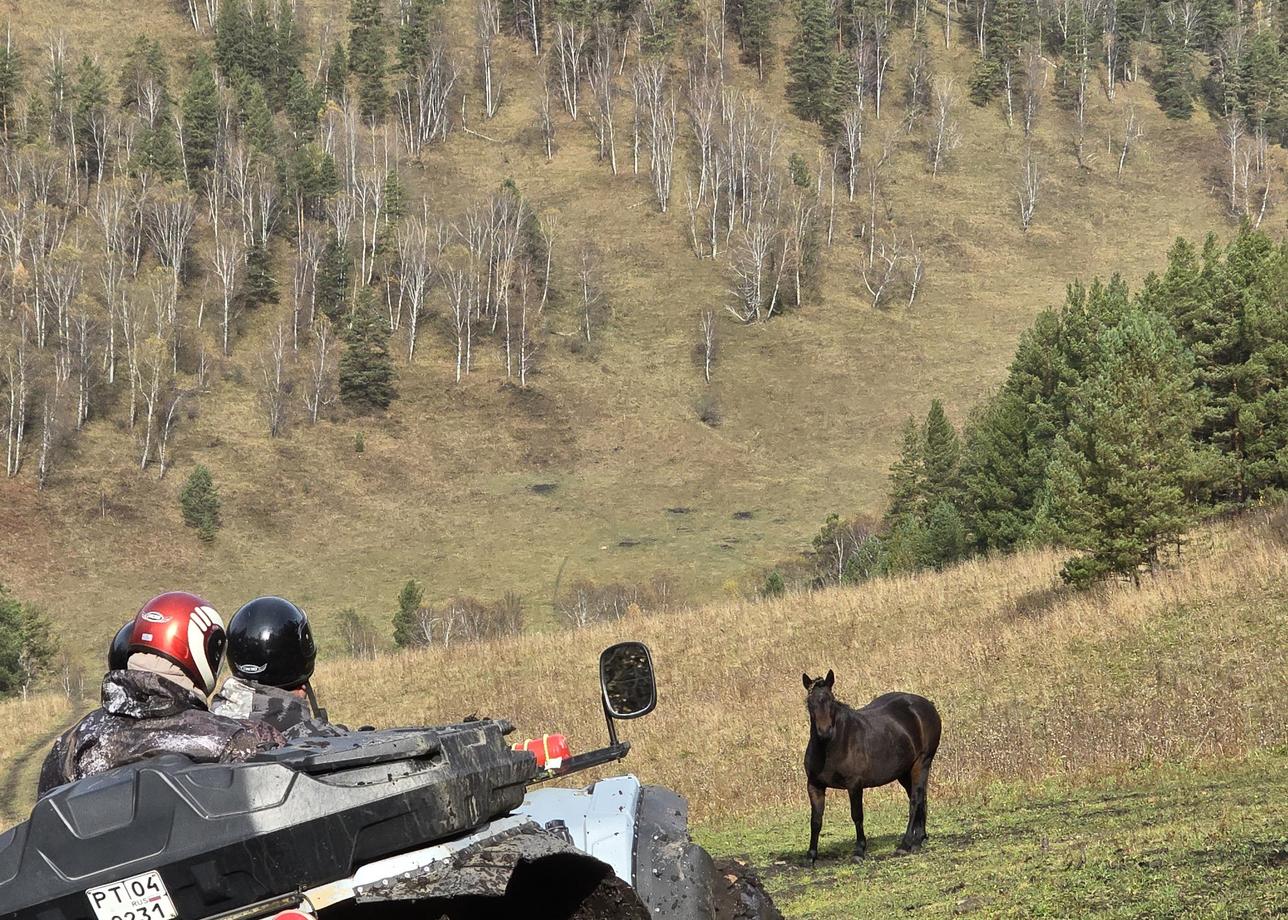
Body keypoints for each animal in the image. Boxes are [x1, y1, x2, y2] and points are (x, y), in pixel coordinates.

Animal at [798, 670, 942, 865]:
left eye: (830, 700)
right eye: (810, 703)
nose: (824, 732)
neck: (832, 745)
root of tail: (927, 705)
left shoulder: (854, 785)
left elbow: (857, 816)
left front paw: (859, 851)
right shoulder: (814, 786)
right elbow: (816, 820)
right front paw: (811, 855)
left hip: (922, 763)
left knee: (915, 800)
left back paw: (905, 844)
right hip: (904, 771)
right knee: (920, 798)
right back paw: (919, 839)